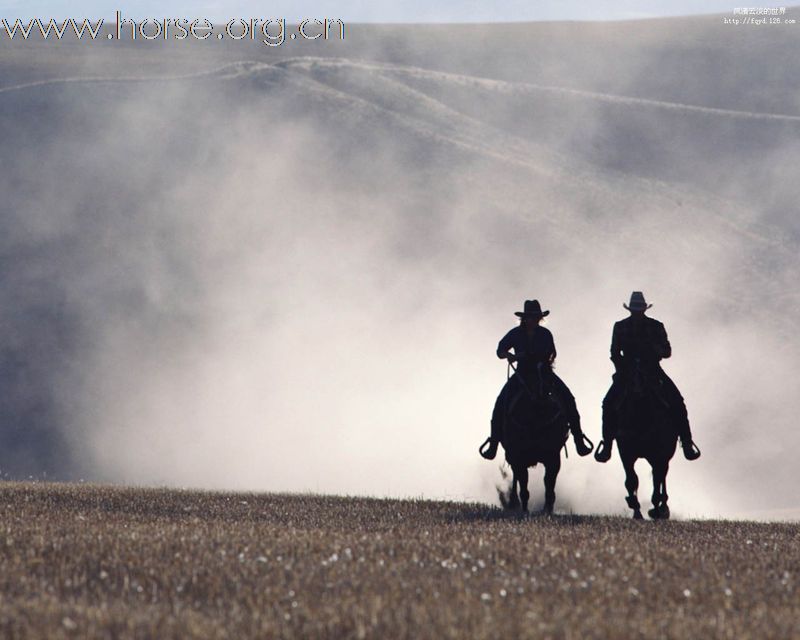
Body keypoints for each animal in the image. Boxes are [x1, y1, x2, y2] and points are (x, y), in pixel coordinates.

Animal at [490, 364, 572, 516]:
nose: (546, 397)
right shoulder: (518, 456)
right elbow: (523, 483)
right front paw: (523, 508)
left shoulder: (553, 457)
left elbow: (549, 483)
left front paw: (548, 509)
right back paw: (513, 502)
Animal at [616, 360, 680, 520]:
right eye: (629, 380)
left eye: (646, 378)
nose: (637, 393)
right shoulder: (626, 453)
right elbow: (631, 480)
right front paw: (636, 510)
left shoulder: (659, 454)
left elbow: (657, 481)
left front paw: (656, 510)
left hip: (664, 456)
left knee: (662, 475)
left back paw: (663, 508)